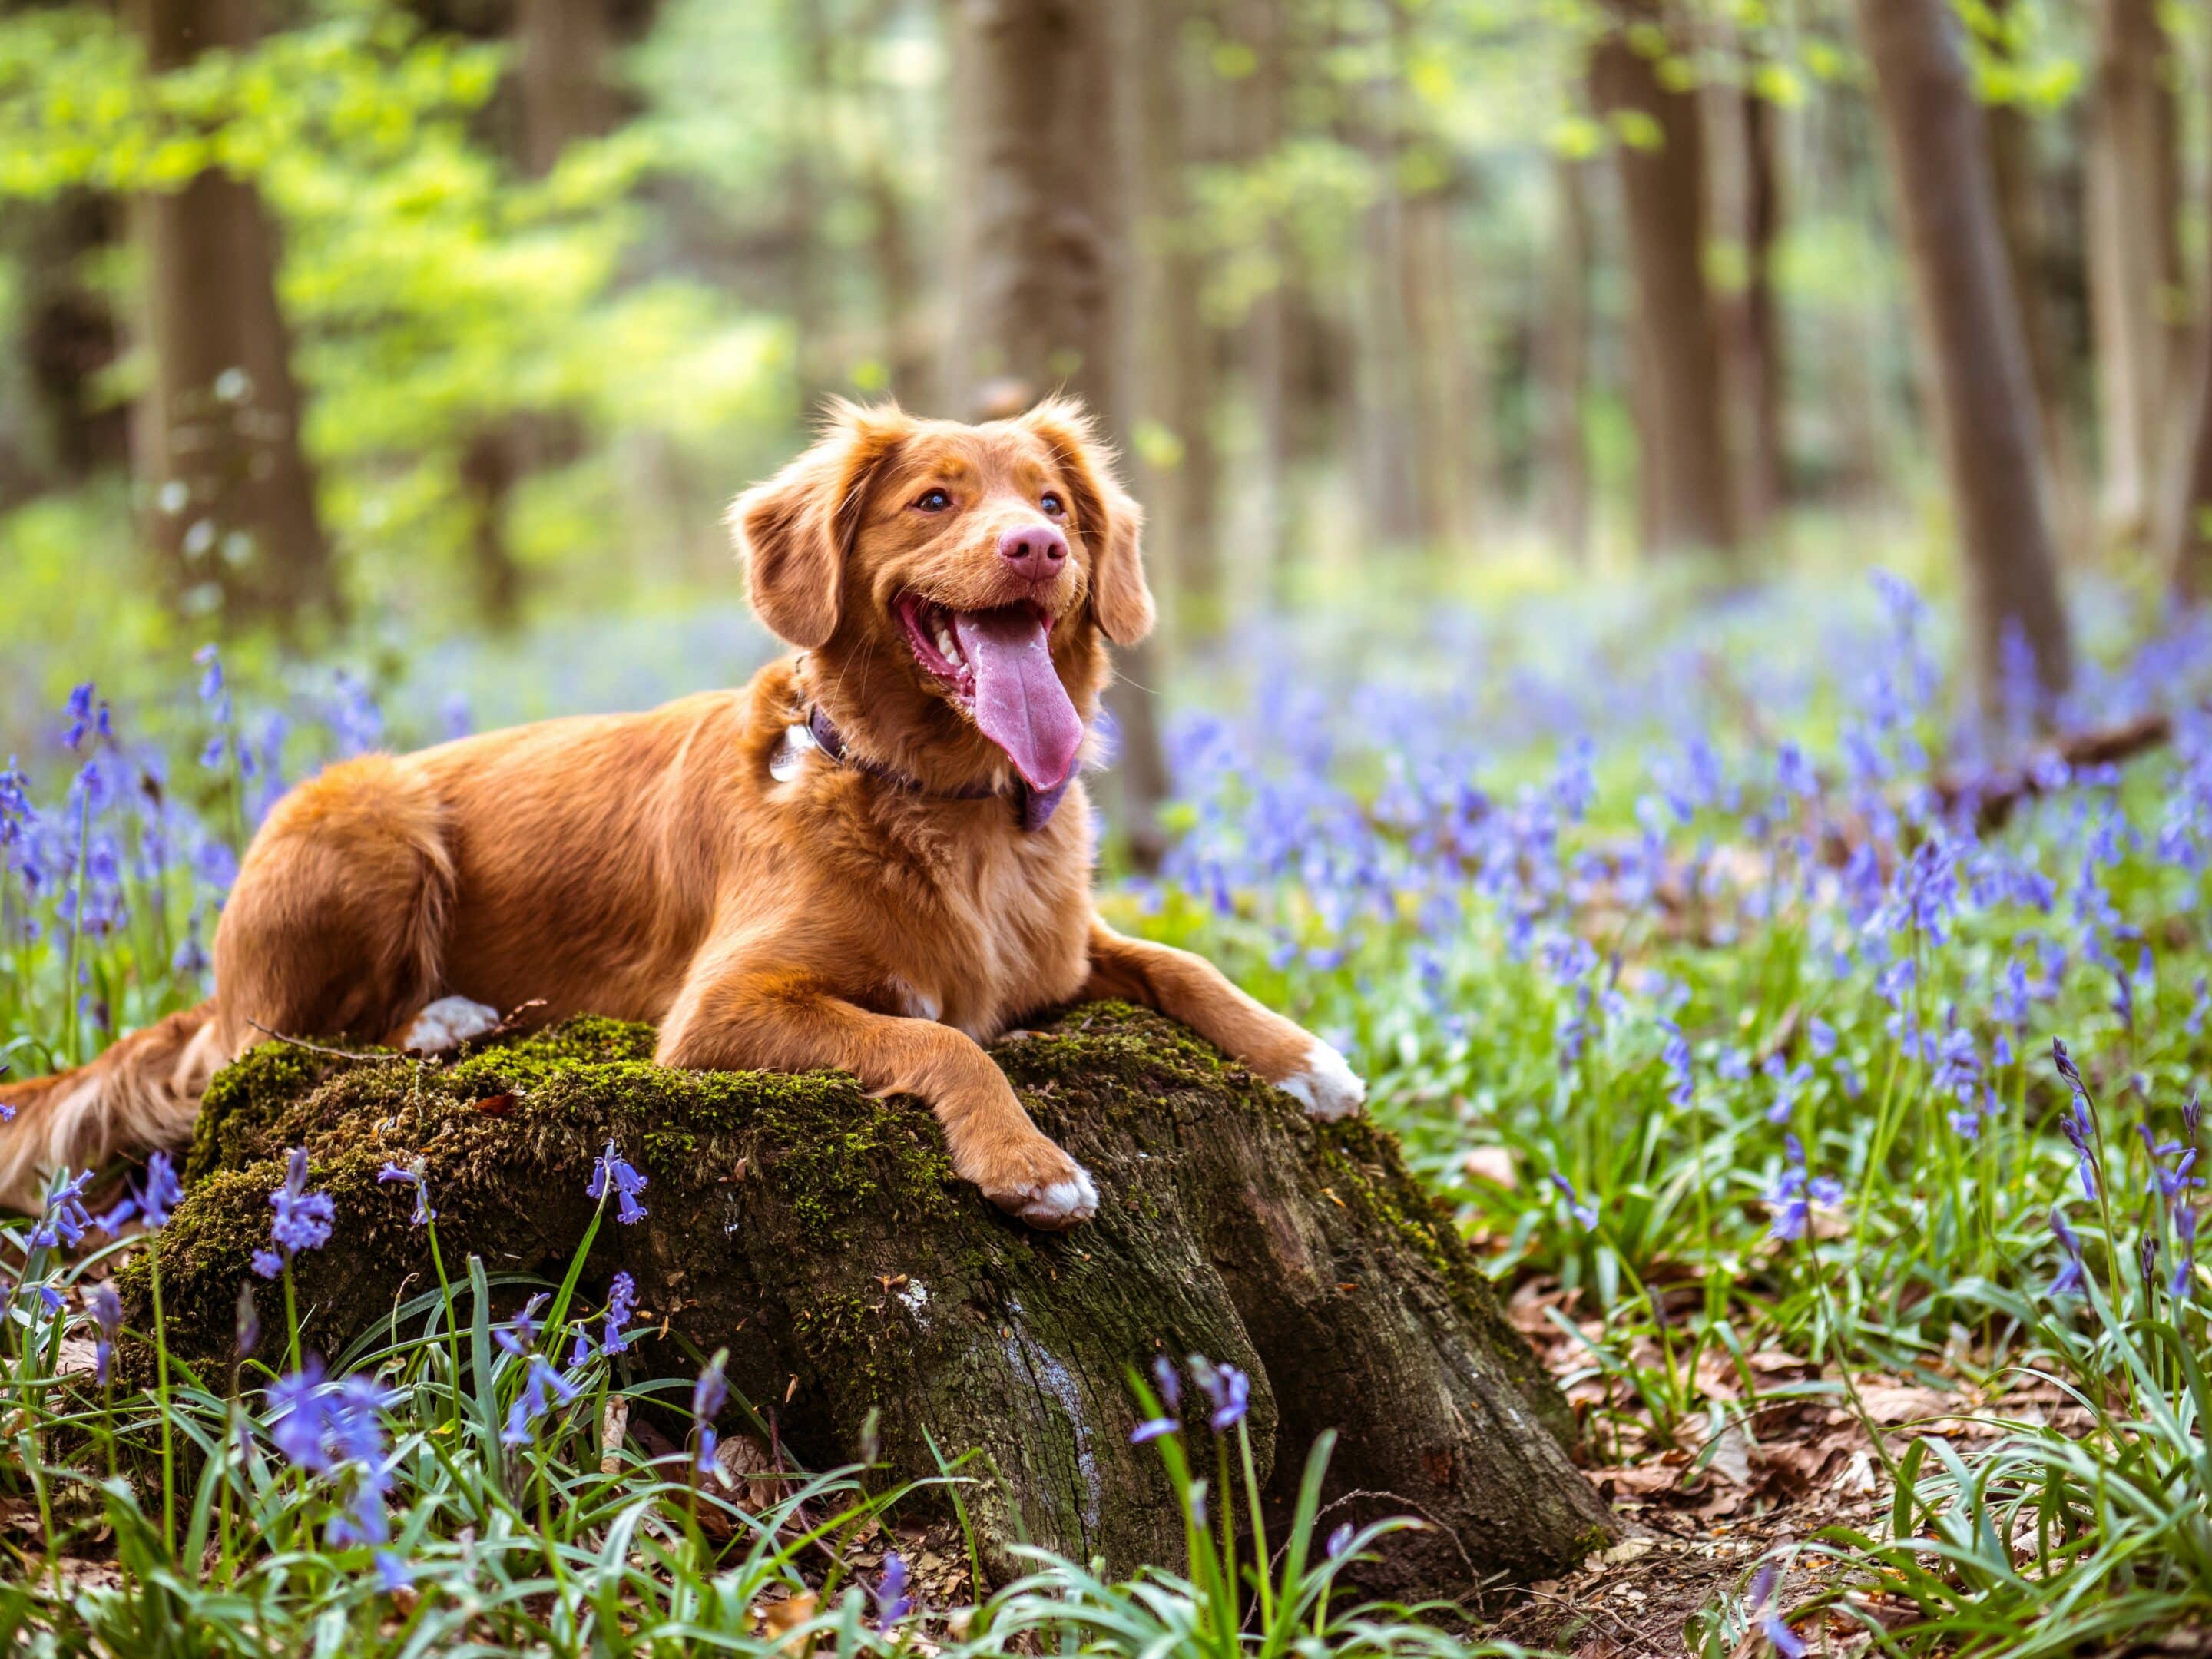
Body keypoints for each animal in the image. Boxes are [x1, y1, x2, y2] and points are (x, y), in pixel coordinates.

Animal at [0, 396, 1363, 1230]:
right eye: (934, 500)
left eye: (1056, 503)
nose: (1038, 549)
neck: (939, 803)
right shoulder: (720, 1012)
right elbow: (946, 1042)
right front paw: (1030, 1164)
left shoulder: (1061, 951)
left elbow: (1182, 964)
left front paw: (1305, 1058)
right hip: (367, 814)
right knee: (272, 1044)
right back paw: (441, 1019)